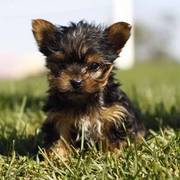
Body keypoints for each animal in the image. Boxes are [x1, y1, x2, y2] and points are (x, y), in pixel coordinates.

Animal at [32, 19, 145, 158]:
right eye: (62, 64)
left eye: (94, 65)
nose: (76, 82)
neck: (83, 100)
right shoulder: (58, 118)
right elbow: (59, 138)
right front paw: (58, 157)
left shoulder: (114, 114)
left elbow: (113, 139)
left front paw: (112, 156)